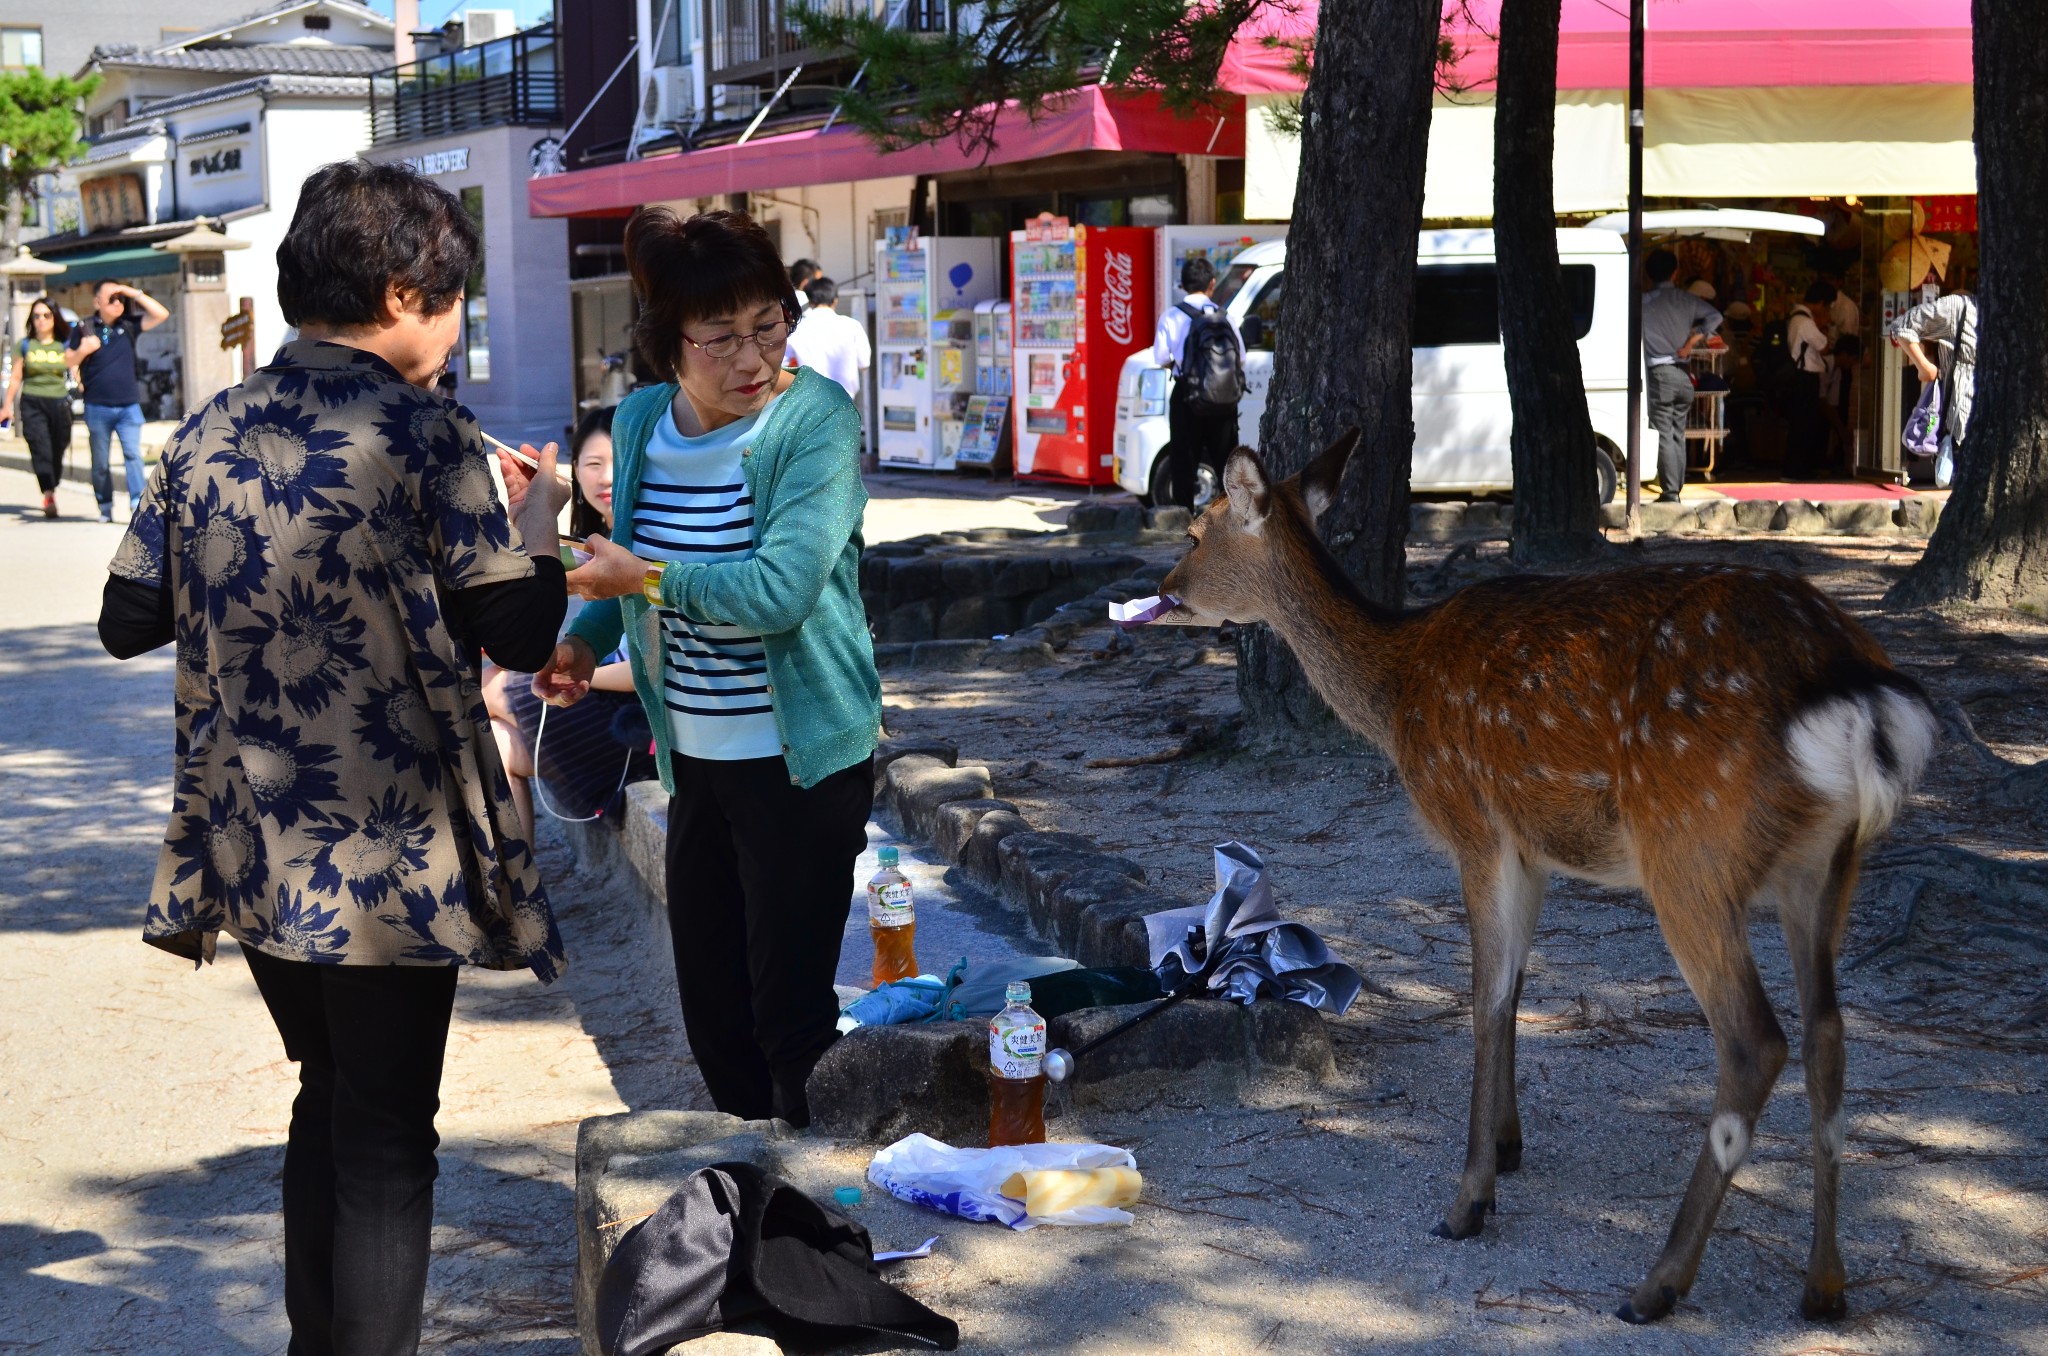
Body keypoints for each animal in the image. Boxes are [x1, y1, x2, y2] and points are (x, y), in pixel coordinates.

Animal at [1163, 430, 1941, 1319]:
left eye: (1197, 530)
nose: (1165, 590)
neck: (1397, 690)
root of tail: (1855, 690)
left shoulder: (1476, 825)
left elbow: (1483, 998)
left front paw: (1469, 1198)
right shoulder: (1533, 849)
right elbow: (1516, 990)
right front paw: (1508, 1145)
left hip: (1689, 850)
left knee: (1755, 1040)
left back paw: (1658, 1282)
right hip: (1828, 865)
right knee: (1828, 1035)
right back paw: (1824, 1286)